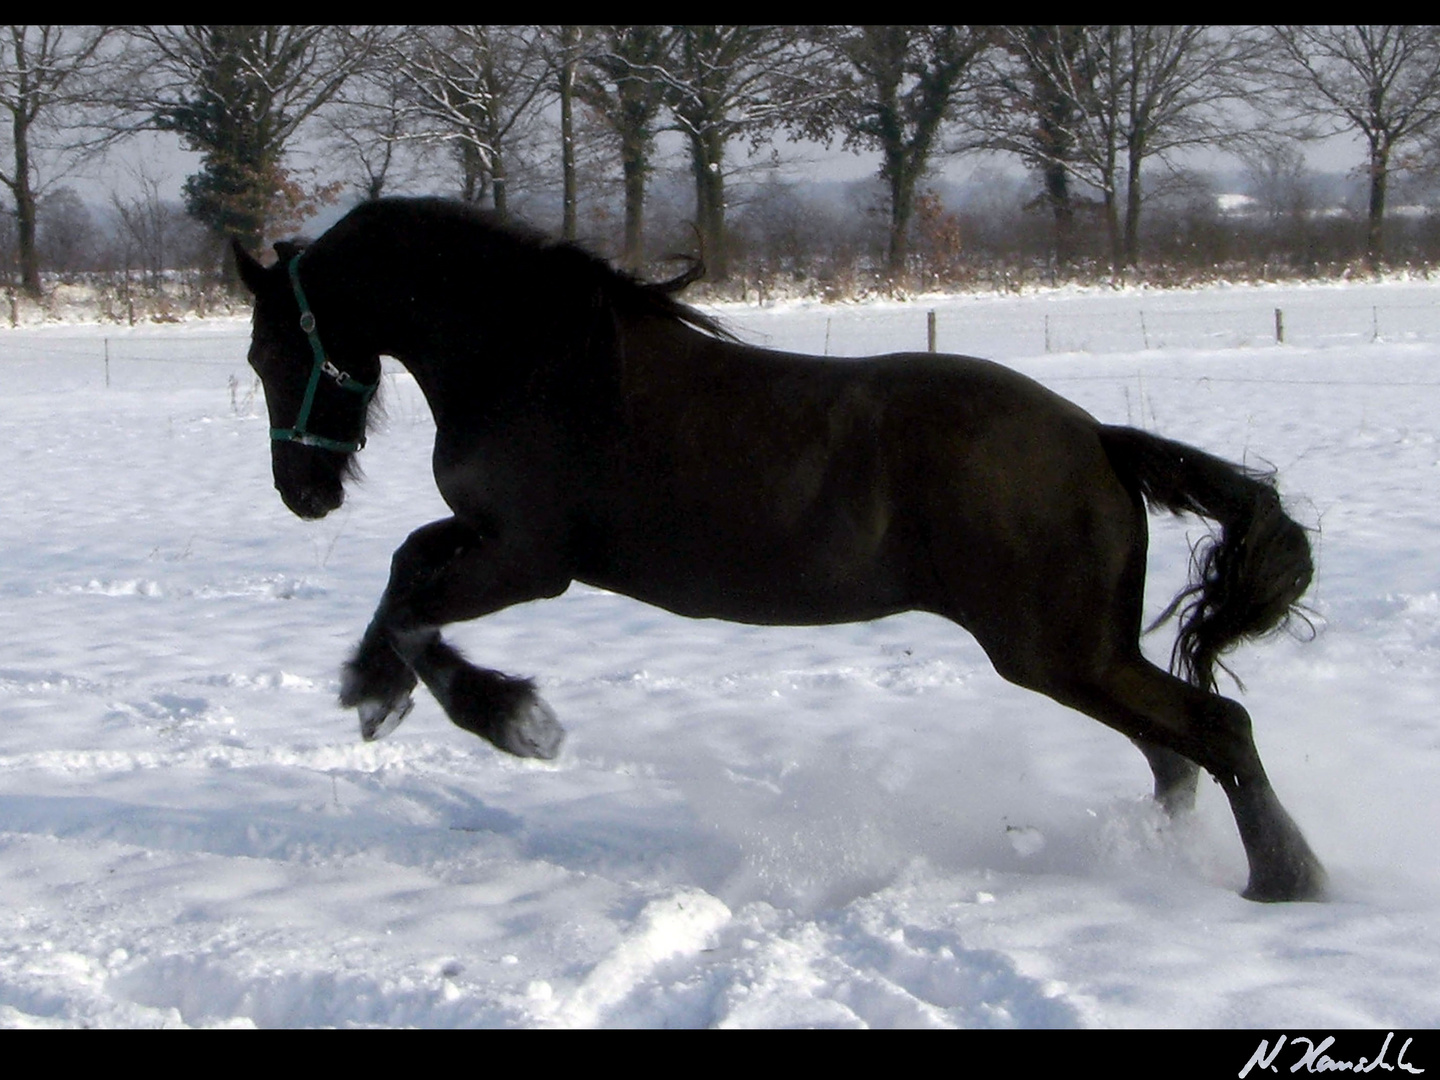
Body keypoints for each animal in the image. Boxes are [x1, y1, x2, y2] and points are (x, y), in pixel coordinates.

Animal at [236, 197, 1324, 904]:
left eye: (269, 350)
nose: (302, 493)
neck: (528, 359)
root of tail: (1098, 439)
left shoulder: (527, 561)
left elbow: (419, 611)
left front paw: (511, 719)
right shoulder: (487, 541)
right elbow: (403, 577)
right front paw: (372, 689)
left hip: (1057, 653)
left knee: (1218, 729)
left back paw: (1288, 882)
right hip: (1084, 655)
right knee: (1175, 752)